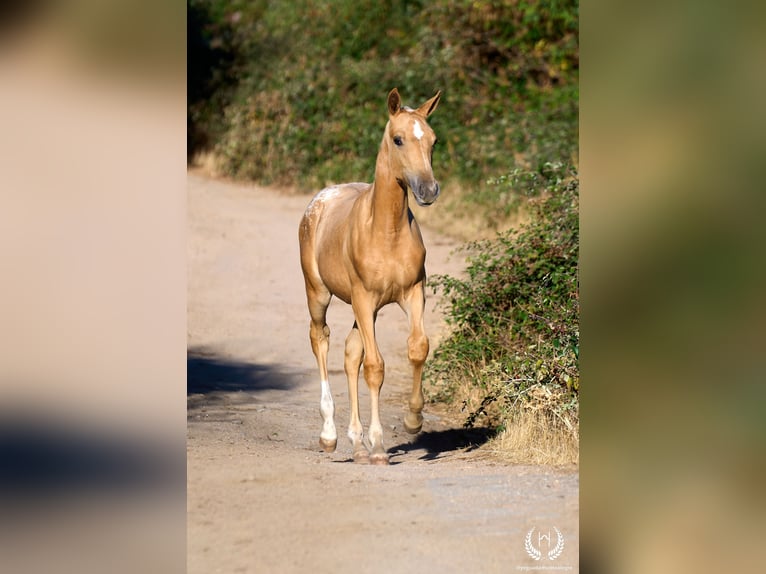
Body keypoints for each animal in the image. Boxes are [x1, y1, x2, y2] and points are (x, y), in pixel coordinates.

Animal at [298, 88, 442, 465]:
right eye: (398, 139)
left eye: (433, 141)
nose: (428, 190)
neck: (386, 231)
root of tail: (320, 199)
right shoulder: (363, 298)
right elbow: (375, 367)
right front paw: (378, 448)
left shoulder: (412, 293)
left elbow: (417, 348)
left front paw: (412, 420)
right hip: (319, 293)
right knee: (320, 338)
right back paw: (330, 436)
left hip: (367, 309)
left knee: (350, 354)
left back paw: (356, 444)